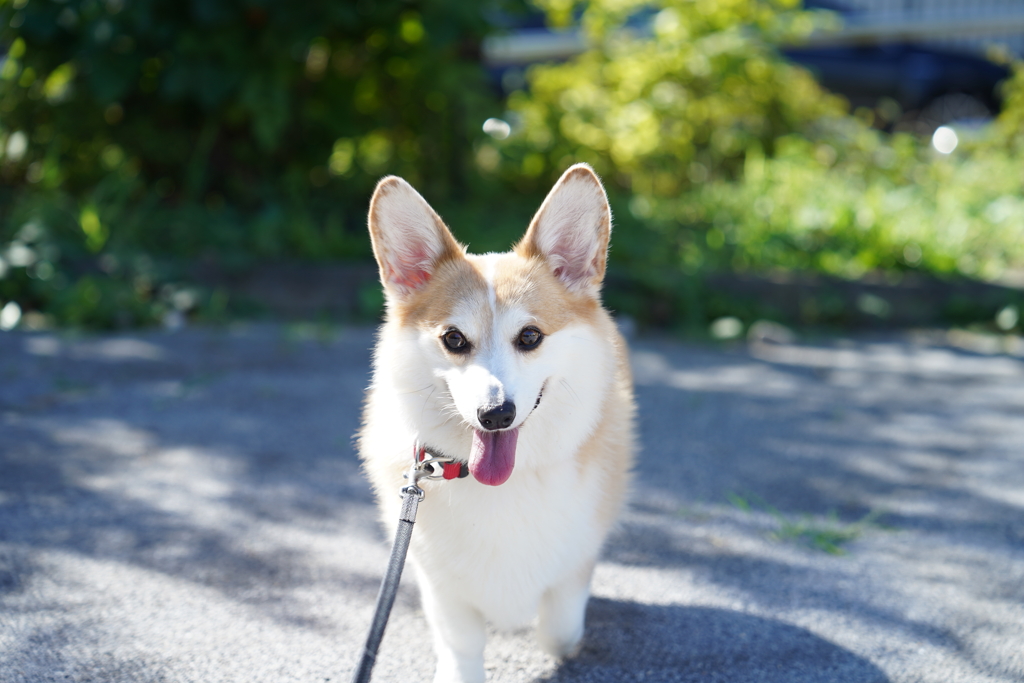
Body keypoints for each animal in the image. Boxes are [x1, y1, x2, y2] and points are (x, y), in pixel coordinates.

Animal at [358, 165, 630, 683]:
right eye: (453, 339)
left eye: (530, 336)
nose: (496, 414)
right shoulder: (440, 583)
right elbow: (461, 646)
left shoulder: (577, 559)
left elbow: (559, 627)